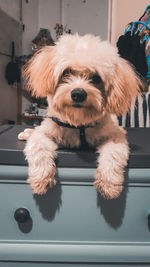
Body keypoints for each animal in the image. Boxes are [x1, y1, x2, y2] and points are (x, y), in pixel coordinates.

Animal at [18, 34, 141, 199]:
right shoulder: (45, 132)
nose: (78, 93)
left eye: (96, 78)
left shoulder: (115, 138)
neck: (79, 124)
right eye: (66, 72)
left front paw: (109, 184)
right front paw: (41, 179)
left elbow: (113, 154)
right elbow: (38, 147)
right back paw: (26, 133)